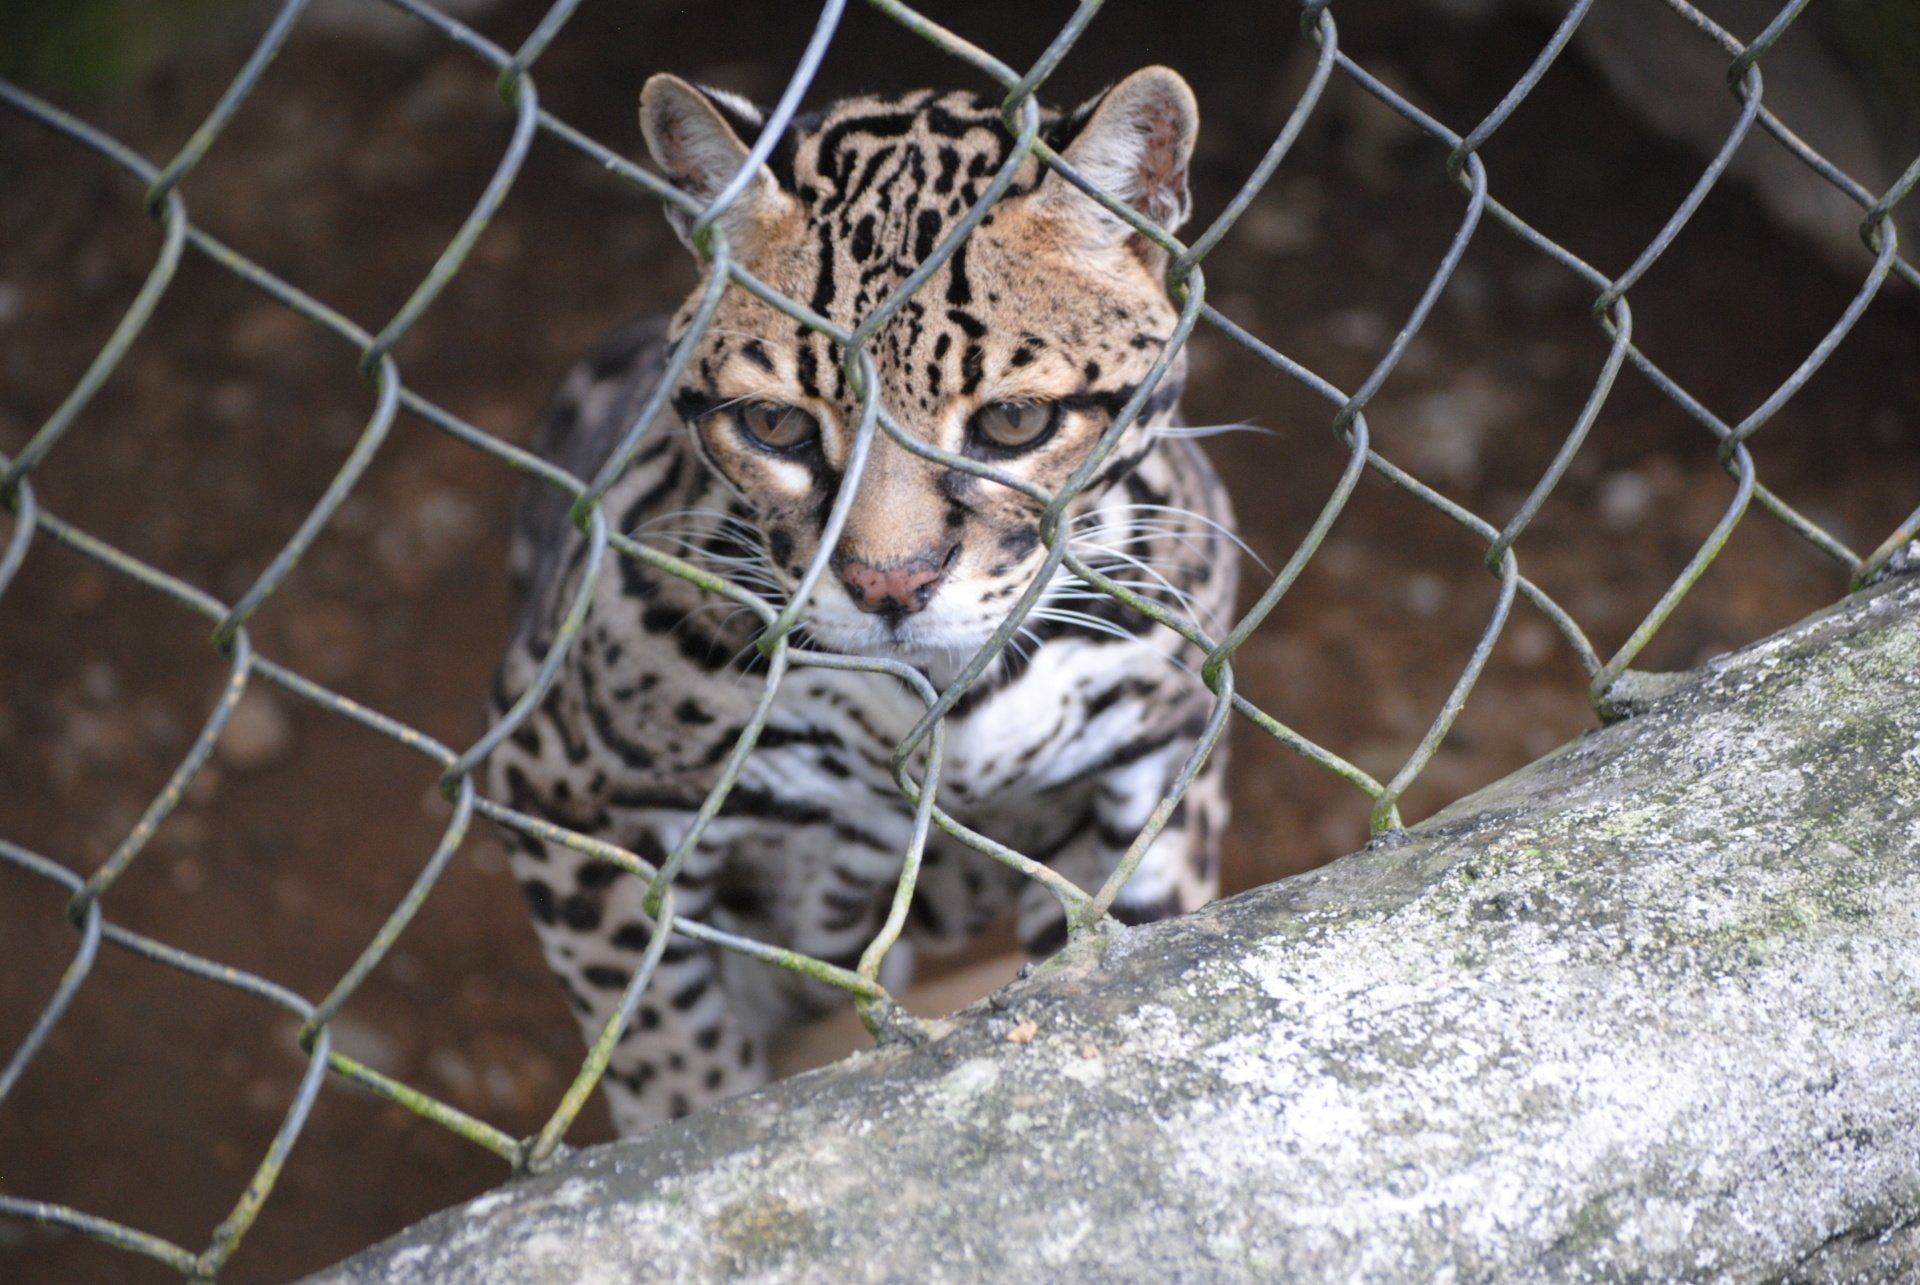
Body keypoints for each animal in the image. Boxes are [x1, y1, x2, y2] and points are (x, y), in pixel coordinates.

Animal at [485, 66, 1241, 1134]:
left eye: (1015, 421)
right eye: (774, 426)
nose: (893, 582)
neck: (953, 701)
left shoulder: (1167, 736)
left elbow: (1137, 922)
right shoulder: (553, 785)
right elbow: (664, 1047)